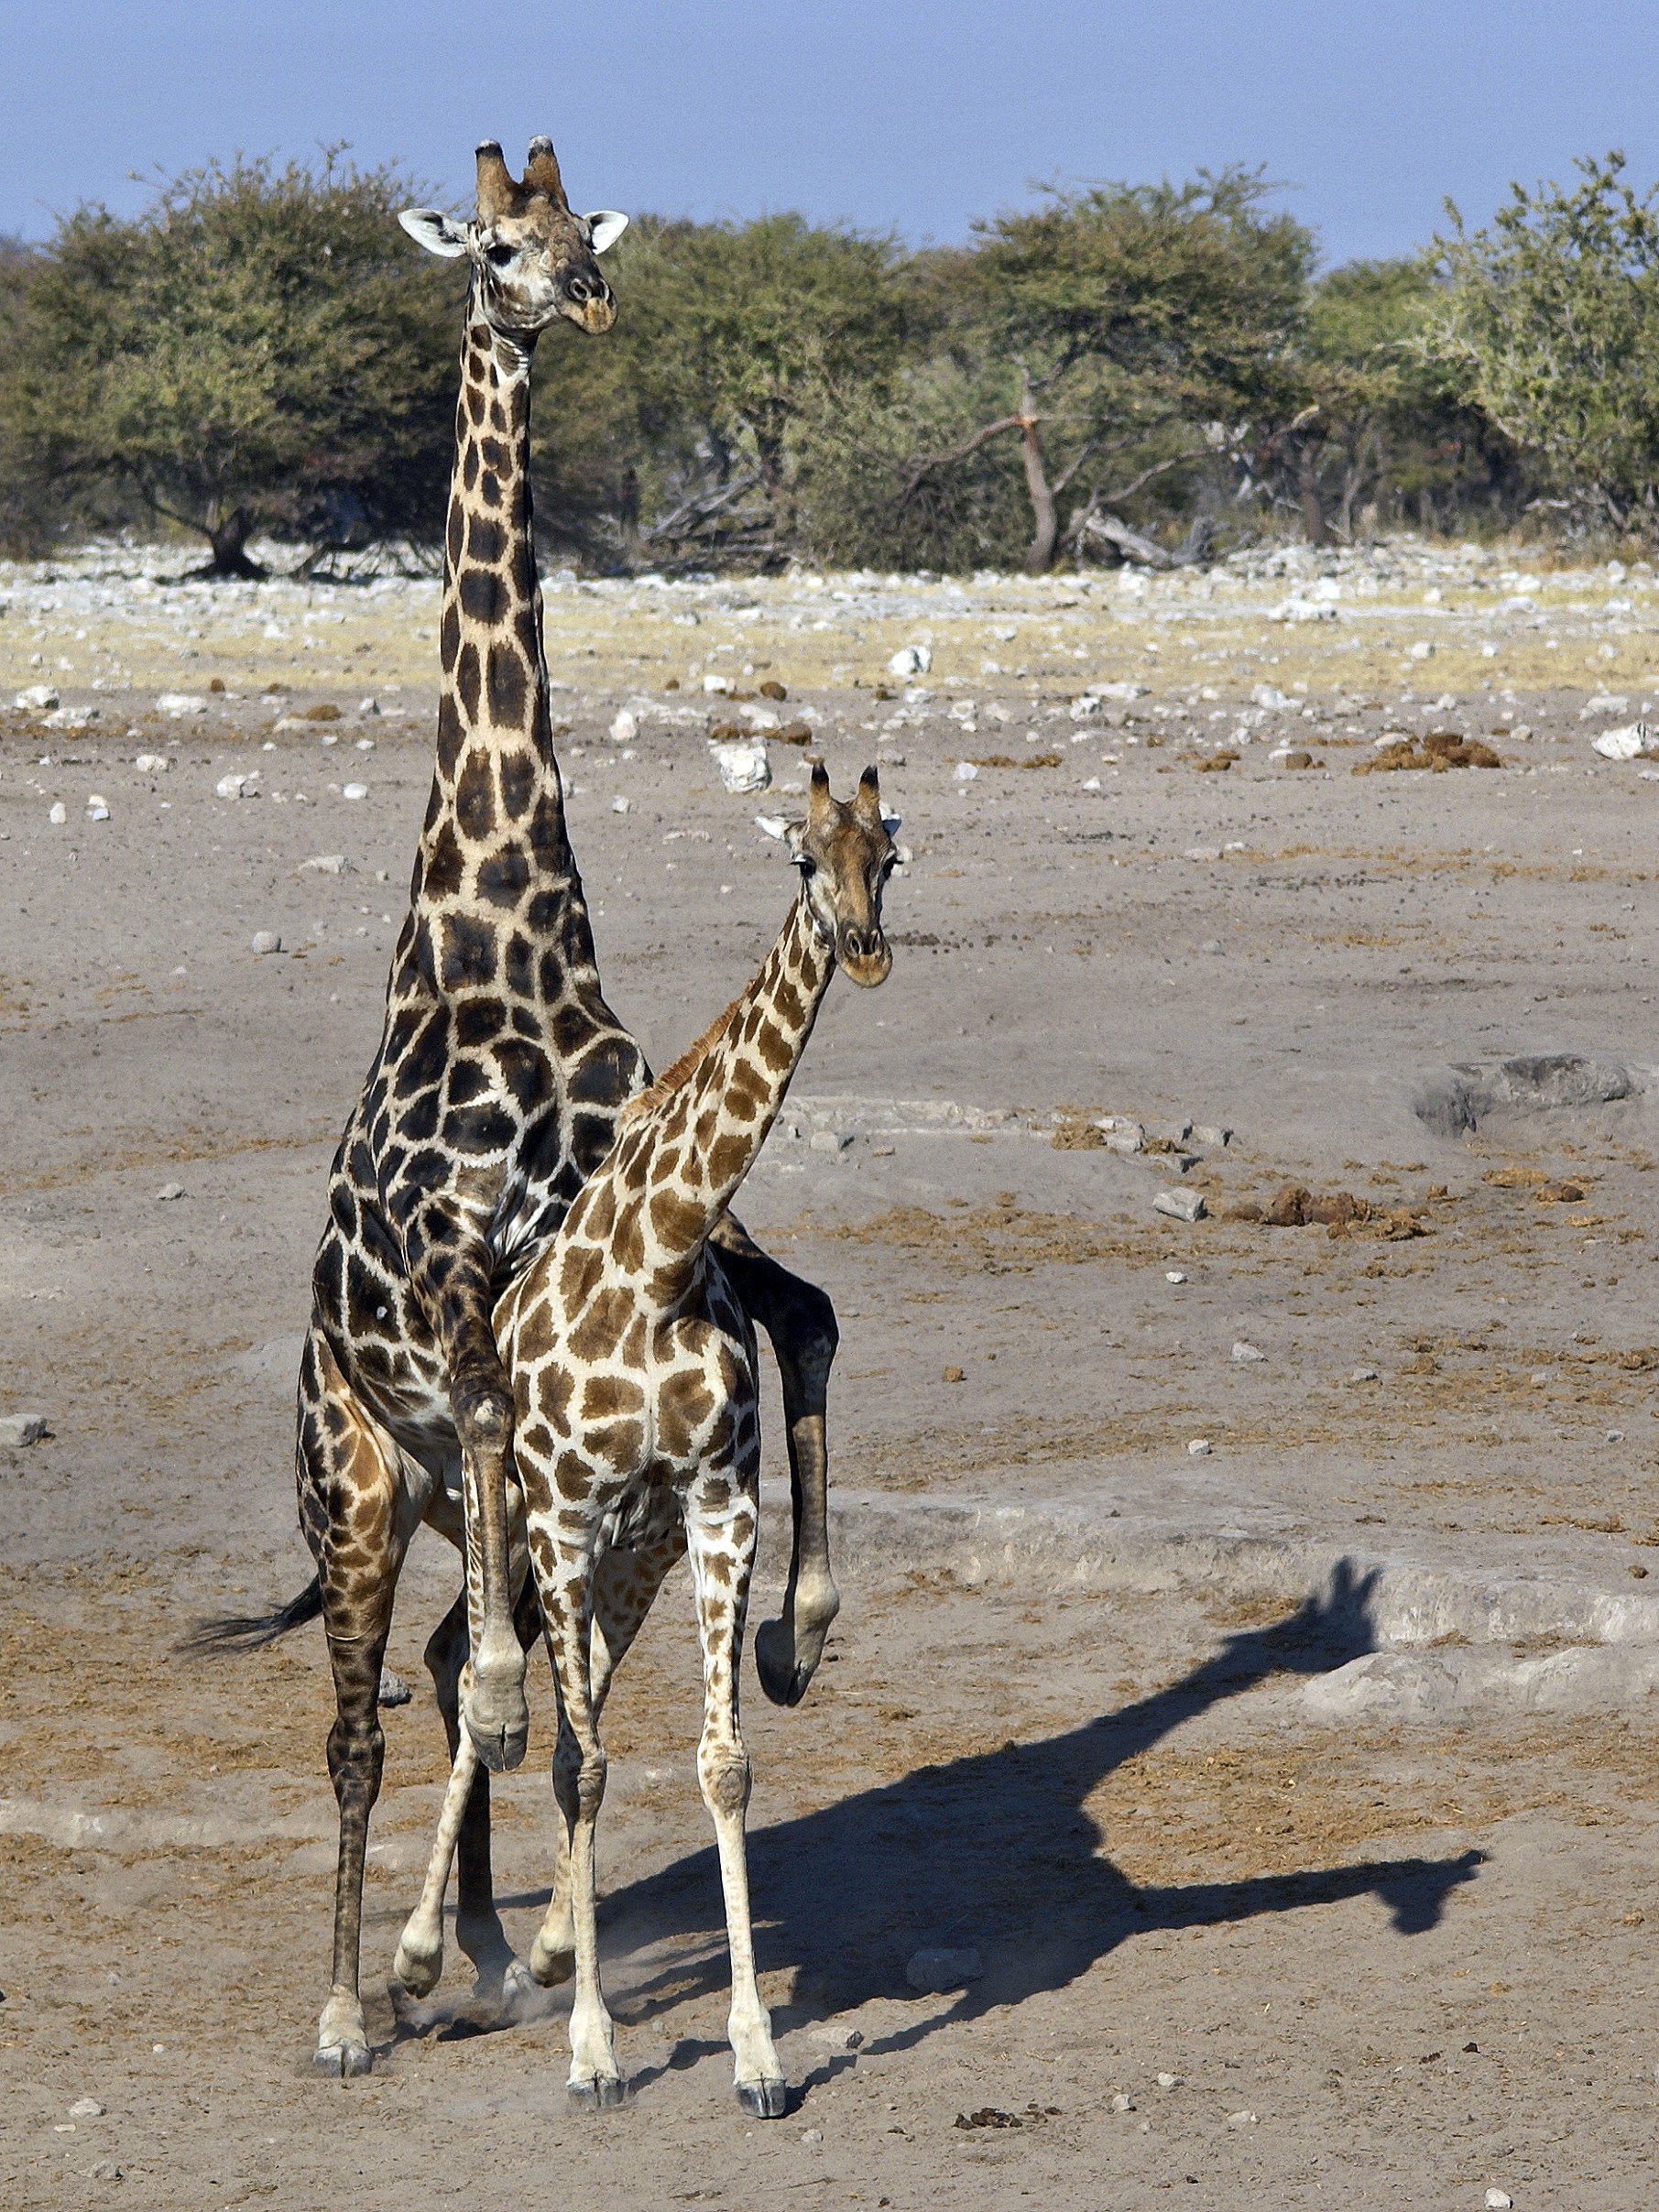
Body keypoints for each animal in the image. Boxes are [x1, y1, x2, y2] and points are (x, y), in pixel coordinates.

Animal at [236, 137, 845, 2070]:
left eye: (586, 230)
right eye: (494, 247)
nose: (579, 299)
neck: (508, 939)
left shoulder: (657, 1227)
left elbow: (807, 1312)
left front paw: (802, 1629)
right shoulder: (462, 1288)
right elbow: (503, 1625)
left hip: (442, 1500)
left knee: (439, 1664)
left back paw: (495, 1950)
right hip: (355, 1485)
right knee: (362, 1714)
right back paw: (354, 2001)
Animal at [398, 765, 902, 2106]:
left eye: (888, 854)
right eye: (799, 856)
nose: (863, 947)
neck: (662, 1255)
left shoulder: (714, 1505)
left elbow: (718, 1763)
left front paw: (756, 2052)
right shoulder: (568, 1513)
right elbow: (578, 1764)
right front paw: (592, 2051)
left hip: (633, 1552)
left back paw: (531, 1942)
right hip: (535, 1536)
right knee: (482, 1682)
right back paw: (411, 1957)